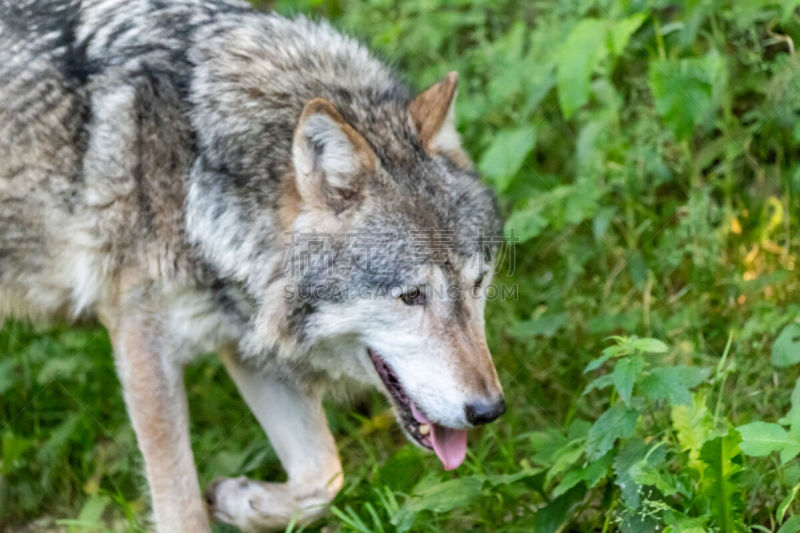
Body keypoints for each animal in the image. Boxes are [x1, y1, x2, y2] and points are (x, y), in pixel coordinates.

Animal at [1, 1, 506, 528]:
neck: (194, 172)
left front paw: (238, 500)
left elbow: (324, 476)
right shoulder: (141, 341)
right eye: (411, 296)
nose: (489, 410)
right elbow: (180, 508)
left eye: (477, 284)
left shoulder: (244, 336)